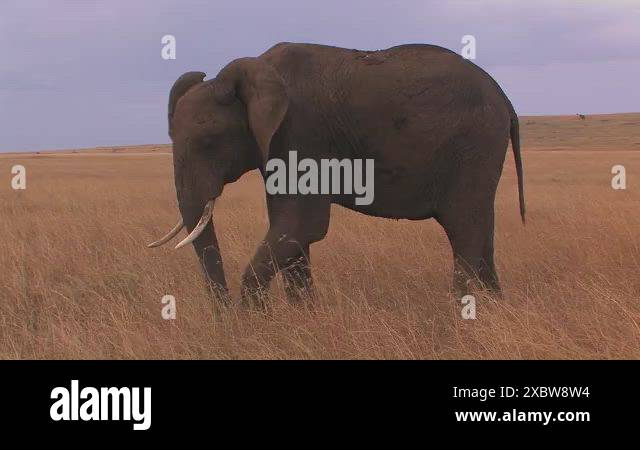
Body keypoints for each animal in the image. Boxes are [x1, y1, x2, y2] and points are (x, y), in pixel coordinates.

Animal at [148, 42, 525, 306]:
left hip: (473, 146)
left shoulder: (301, 133)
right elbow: (291, 233)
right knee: (482, 233)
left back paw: (457, 317)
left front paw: (257, 320)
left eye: (209, 141)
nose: (224, 316)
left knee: (464, 231)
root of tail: (504, 98)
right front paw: (301, 319)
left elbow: (302, 226)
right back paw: (495, 310)